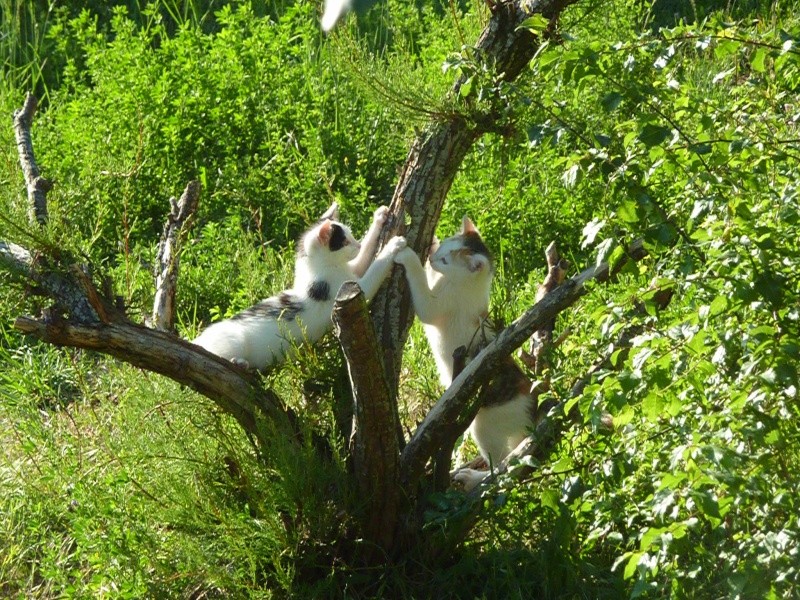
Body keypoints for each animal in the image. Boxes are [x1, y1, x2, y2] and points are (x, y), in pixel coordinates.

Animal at [194, 205, 406, 370]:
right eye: (344, 242)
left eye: (352, 236)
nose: (358, 245)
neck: (319, 269)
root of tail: (198, 340)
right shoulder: (351, 288)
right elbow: (376, 267)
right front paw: (393, 245)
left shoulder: (352, 272)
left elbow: (365, 258)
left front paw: (379, 218)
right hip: (233, 342)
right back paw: (238, 363)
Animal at [392, 218, 536, 490]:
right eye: (443, 249)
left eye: (447, 260)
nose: (432, 257)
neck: (459, 284)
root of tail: (534, 401)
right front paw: (429, 243)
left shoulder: (437, 305)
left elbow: (422, 293)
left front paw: (407, 255)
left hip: (484, 426)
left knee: (500, 464)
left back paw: (475, 479)